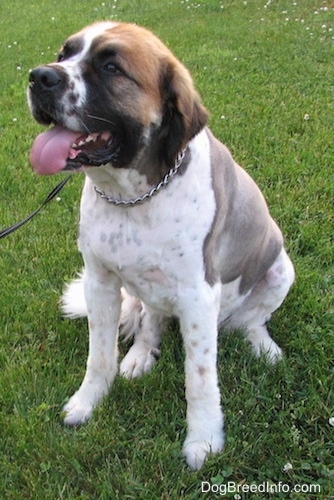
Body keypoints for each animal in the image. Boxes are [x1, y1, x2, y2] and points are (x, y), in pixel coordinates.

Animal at [28, 22, 294, 468]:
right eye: (64, 54)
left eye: (112, 67)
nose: (39, 77)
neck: (135, 196)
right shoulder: (99, 281)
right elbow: (99, 356)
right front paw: (87, 403)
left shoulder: (199, 295)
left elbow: (199, 378)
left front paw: (203, 440)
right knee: (151, 320)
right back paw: (139, 356)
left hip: (279, 266)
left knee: (252, 319)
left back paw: (262, 345)